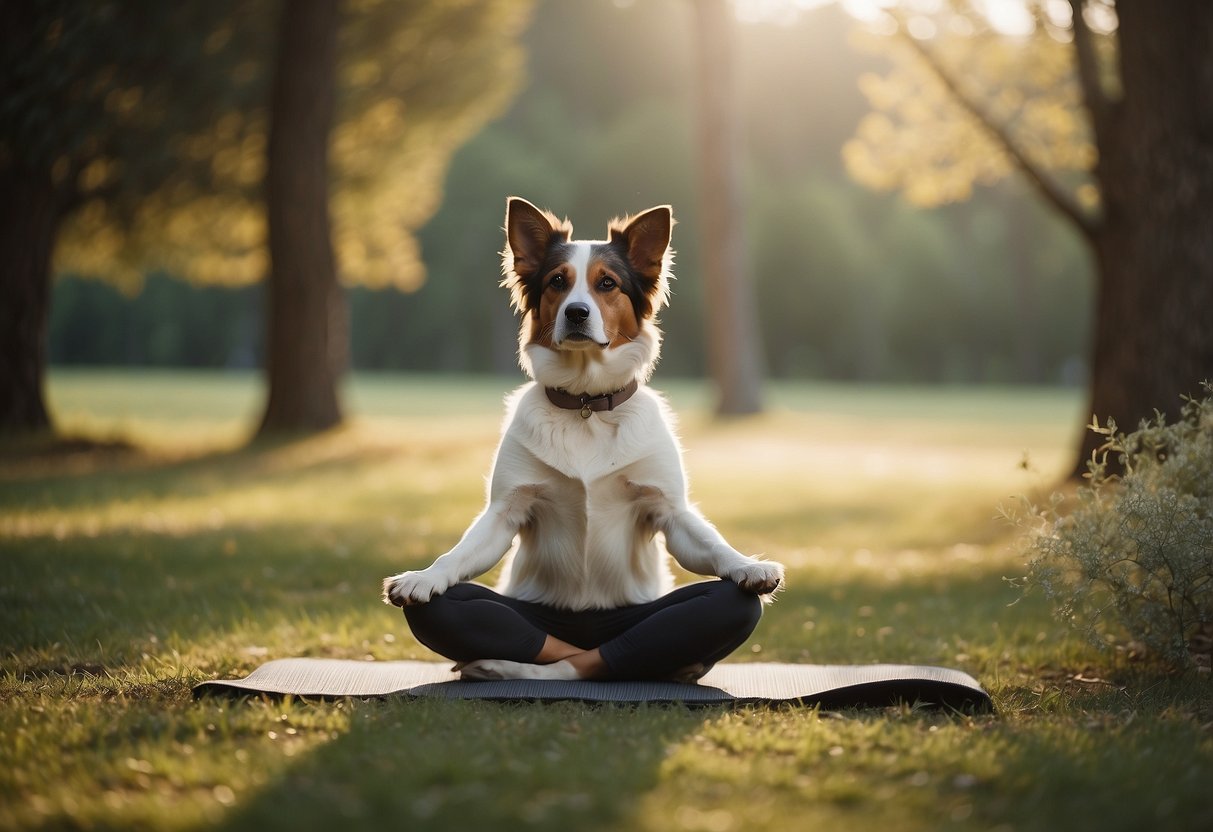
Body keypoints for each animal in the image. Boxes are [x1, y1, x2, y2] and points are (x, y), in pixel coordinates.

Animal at [380, 198, 786, 679]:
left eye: (607, 283)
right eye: (558, 281)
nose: (576, 313)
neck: (586, 403)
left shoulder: (668, 510)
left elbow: (713, 544)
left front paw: (749, 567)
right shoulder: (505, 511)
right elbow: (456, 556)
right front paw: (424, 577)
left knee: (616, 651)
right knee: (556, 651)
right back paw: (497, 666)